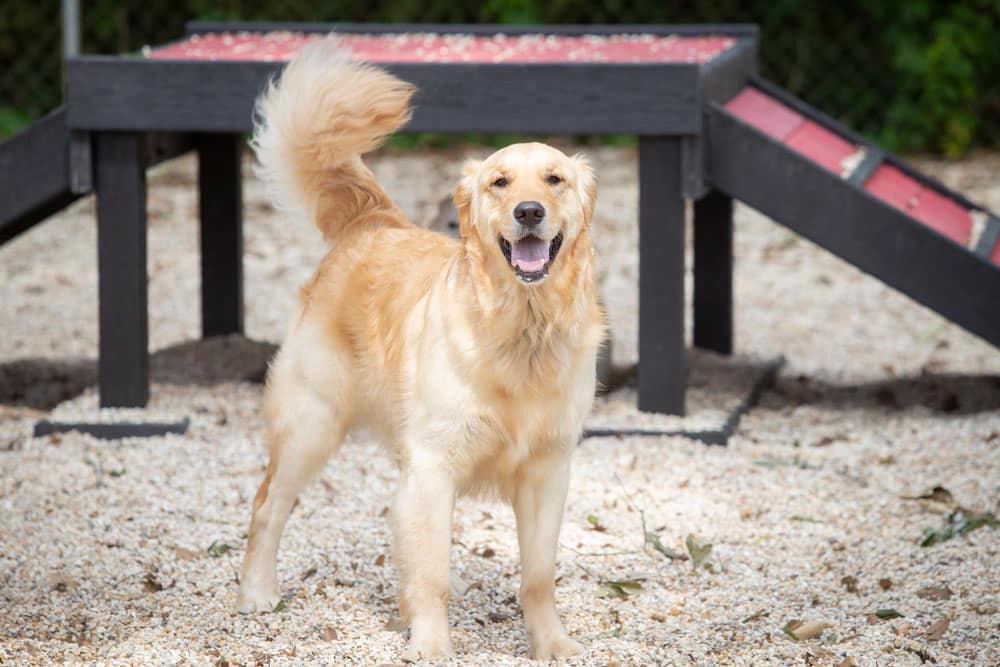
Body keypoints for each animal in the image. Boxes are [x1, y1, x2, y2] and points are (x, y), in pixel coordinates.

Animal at [238, 41, 604, 664]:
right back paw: (257, 592)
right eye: (500, 182)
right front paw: (432, 644)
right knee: (267, 506)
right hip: (312, 423)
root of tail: (373, 222)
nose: (529, 211)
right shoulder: (434, 465)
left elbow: (537, 575)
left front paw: (552, 643)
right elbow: (433, 573)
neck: (520, 328)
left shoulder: (548, 471)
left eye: (554, 179)